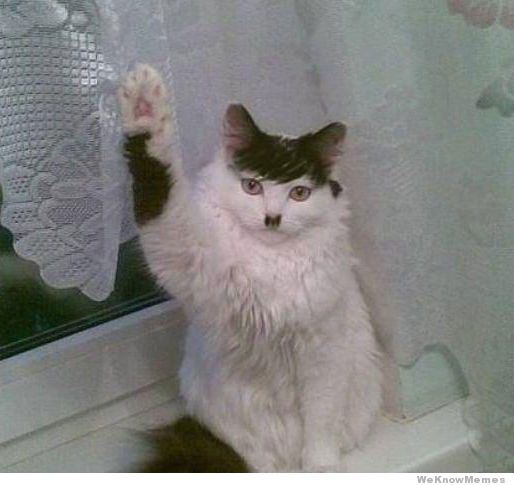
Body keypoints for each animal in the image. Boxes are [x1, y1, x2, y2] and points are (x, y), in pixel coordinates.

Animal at [118, 64, 383, 472]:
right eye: (252, 186)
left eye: (299, 193)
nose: (272, 218)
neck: (270, 261)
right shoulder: (188, 257)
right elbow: (157, 180)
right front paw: (145, 107)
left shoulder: (324, 352)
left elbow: (321, 425)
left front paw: (320, 467)